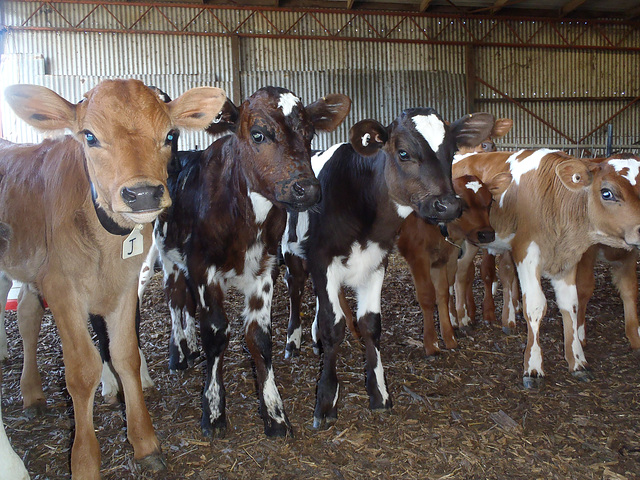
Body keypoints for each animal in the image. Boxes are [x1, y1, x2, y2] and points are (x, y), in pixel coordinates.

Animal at [0, 80, 226, 478]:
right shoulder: (61, 287)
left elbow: (126, 356)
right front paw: (84, 460)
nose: (143, 194)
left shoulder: (123, 287)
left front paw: (145, 443)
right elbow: (81, 370)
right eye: (89, 136)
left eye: (170, 134)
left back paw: (32, 394)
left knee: (26, 312)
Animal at [150, 87, 350, 438]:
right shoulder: (201, 266)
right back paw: (180, 353)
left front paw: (275, 414)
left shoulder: (265, 268)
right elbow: (216, 333)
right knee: (174, 300)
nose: (308, 188)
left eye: (310, 134)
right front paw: (214, 411)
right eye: (258, 134)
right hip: (168, 253)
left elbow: (259, 337)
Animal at [282, 109, 498, 428]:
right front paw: (326, 402)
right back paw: (292, 342)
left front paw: (379, 394)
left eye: (452, 152)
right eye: (403, 152)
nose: (447, 205)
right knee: (296, 287)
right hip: (290, 249)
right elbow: (333, 326)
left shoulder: (377, 261)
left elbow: (371, 324)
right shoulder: (322, 259)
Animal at [452, 150, 640, 386]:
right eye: (607, 193)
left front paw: (577, 361)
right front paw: (533, 367)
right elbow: (535, 306)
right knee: (459, 274)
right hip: (466, 240)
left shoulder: (568, 260)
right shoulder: (526, 253)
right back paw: (461, 320)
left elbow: (571, 305)